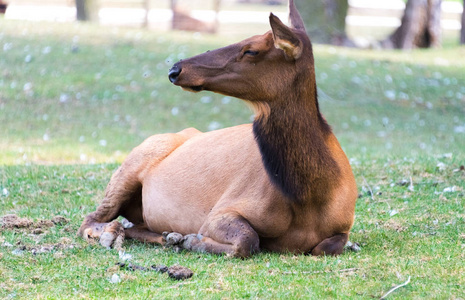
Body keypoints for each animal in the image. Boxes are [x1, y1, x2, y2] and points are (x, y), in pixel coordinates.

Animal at [78, 0, 358, 258]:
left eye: (251, 50)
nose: (175, 69)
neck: (310, 196)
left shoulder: (343, 226)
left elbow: (327, 246)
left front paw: (184, 239)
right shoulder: (221, 211)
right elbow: (248, 239)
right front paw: (193, 240)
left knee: (134, 226)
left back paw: (167, 236)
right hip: (130, 166)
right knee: (90, 220)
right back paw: (113, 234)